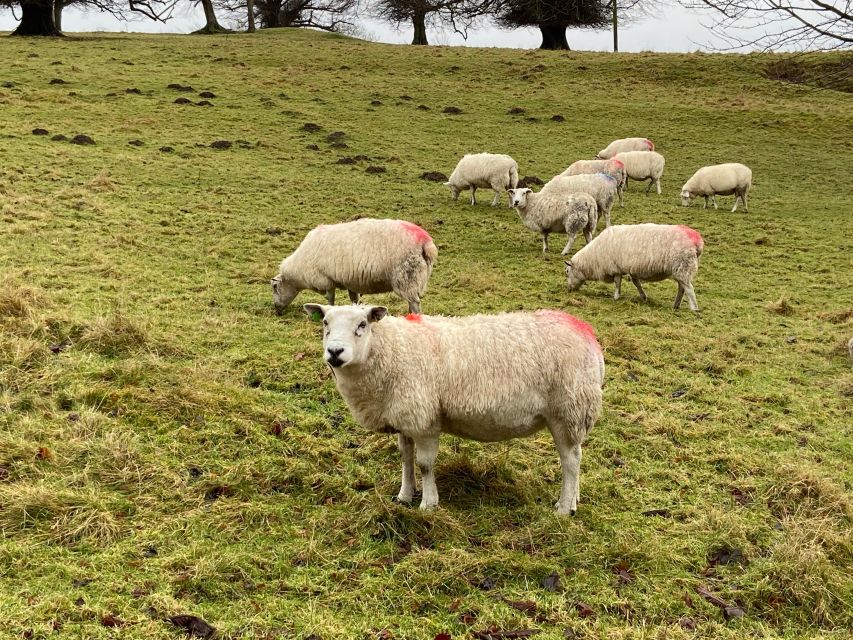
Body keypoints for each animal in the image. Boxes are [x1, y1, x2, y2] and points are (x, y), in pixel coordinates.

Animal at [272, 218, 440, 316]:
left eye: (274, 287)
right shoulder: (350, 281)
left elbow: (330, 298)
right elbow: (354, 299)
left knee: (415, 303)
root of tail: (426, 243)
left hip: (406, 277)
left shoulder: (325, 279)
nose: (276, 310)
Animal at [302, 302, 604, 516]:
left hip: (568, 410)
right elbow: (405, 457)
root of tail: (587, 335)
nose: (335, 352)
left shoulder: (424, 418)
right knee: (576, 456)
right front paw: (404, 495)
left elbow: (424, 464)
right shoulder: (405, 415)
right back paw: (574, 500)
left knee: (570, 461)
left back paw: (563, 509)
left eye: (362, 324)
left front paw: (428, 503)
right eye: (326, 323)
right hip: (573, 413)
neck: (393, 350)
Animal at [564, 222, 704, 312]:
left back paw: (694, 309)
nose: (569, 289)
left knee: (689, 289)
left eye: (567, 272)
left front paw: (616, 297)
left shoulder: (616, 268)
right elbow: (636, 283)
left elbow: (617, 283)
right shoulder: (631, 269)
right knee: (682, 289)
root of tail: (697, 240)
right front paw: (643, 296)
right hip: (681, 270)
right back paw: (675, 306)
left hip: (683, 266)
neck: (594, 257)